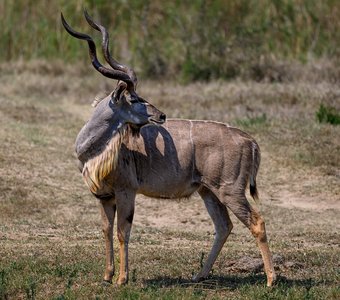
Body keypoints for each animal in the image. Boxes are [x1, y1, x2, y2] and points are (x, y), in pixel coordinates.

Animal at [62, 12, 276, 288]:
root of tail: (250, 141)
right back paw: (199, 275)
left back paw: (271, 279)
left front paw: (122, 278)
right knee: (224, 226)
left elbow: (122, 232)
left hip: (230, 191)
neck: (93, 150)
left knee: (256, 222)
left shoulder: (126, 191)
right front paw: (107, 275)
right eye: (134, 98)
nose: (161, 115)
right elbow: (106, 230)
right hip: (208, 191)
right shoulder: (104, 196)